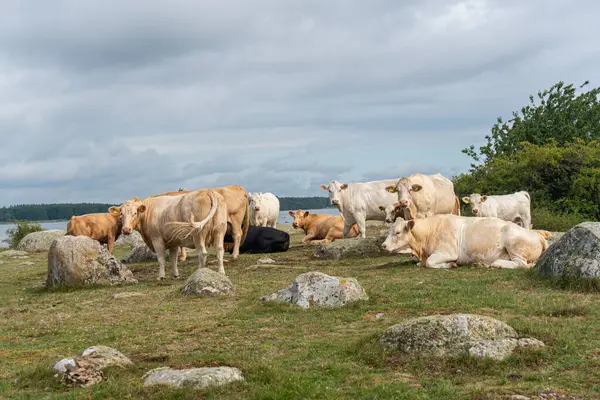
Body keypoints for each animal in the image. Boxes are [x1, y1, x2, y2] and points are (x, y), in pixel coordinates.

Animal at [382, 214, 552, 270]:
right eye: (389, 231)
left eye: (397, 232)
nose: (383, 246)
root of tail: (538, 235)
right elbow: (421, 263)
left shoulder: (447, 252)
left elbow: (430, 263)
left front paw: (449, 265)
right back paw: (480, 264)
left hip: (515, 245)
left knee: (520, 264)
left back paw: (497, 264)